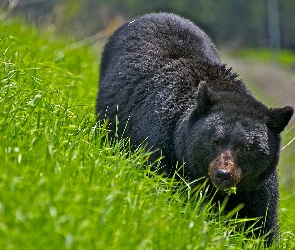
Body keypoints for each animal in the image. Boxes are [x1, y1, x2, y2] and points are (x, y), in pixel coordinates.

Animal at [96, 12, 294, 245]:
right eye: (214, 142)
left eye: (245, 148)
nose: (223, 175)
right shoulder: (163, 151)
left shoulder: (256, 187)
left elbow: (262, 222)